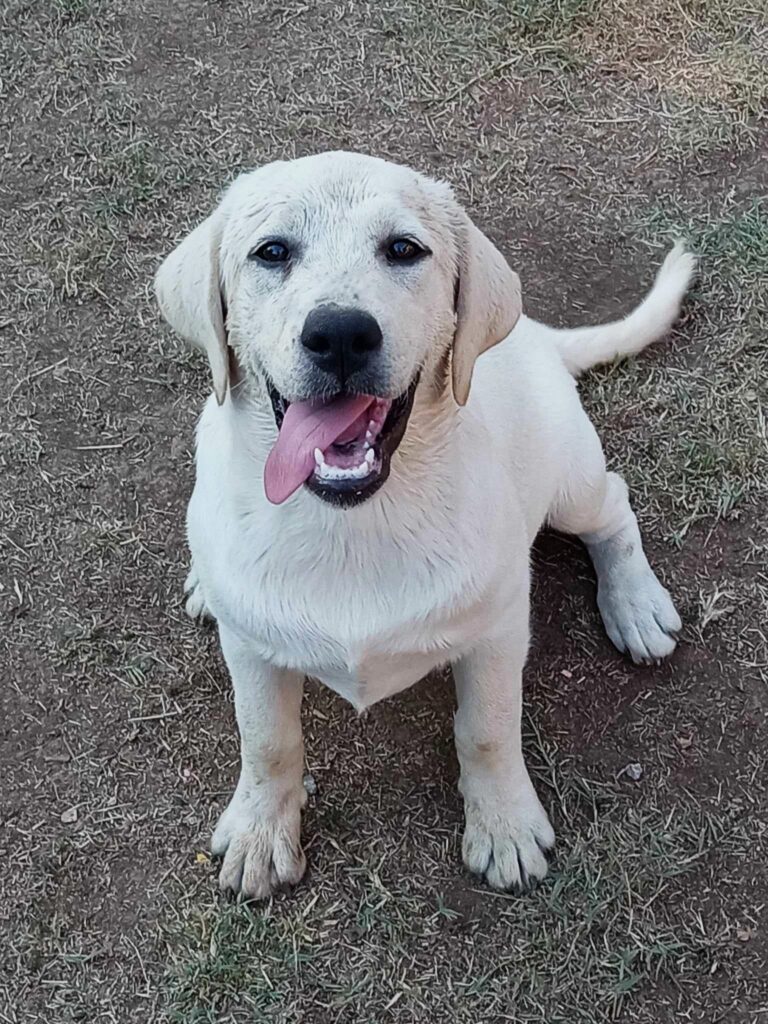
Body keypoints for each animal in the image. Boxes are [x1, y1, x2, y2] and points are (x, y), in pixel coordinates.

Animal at [153, 149, 696, 897]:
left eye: (404, 249)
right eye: (272, 252)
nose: (340, 334)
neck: (353, 526)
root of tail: (537, 337)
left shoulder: (498, 629)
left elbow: (489, 728)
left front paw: (503, 824)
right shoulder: (252, 649)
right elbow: (266, 739)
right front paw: (262, 831)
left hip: (570, 480)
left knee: (612, 505)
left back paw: (636, 603)